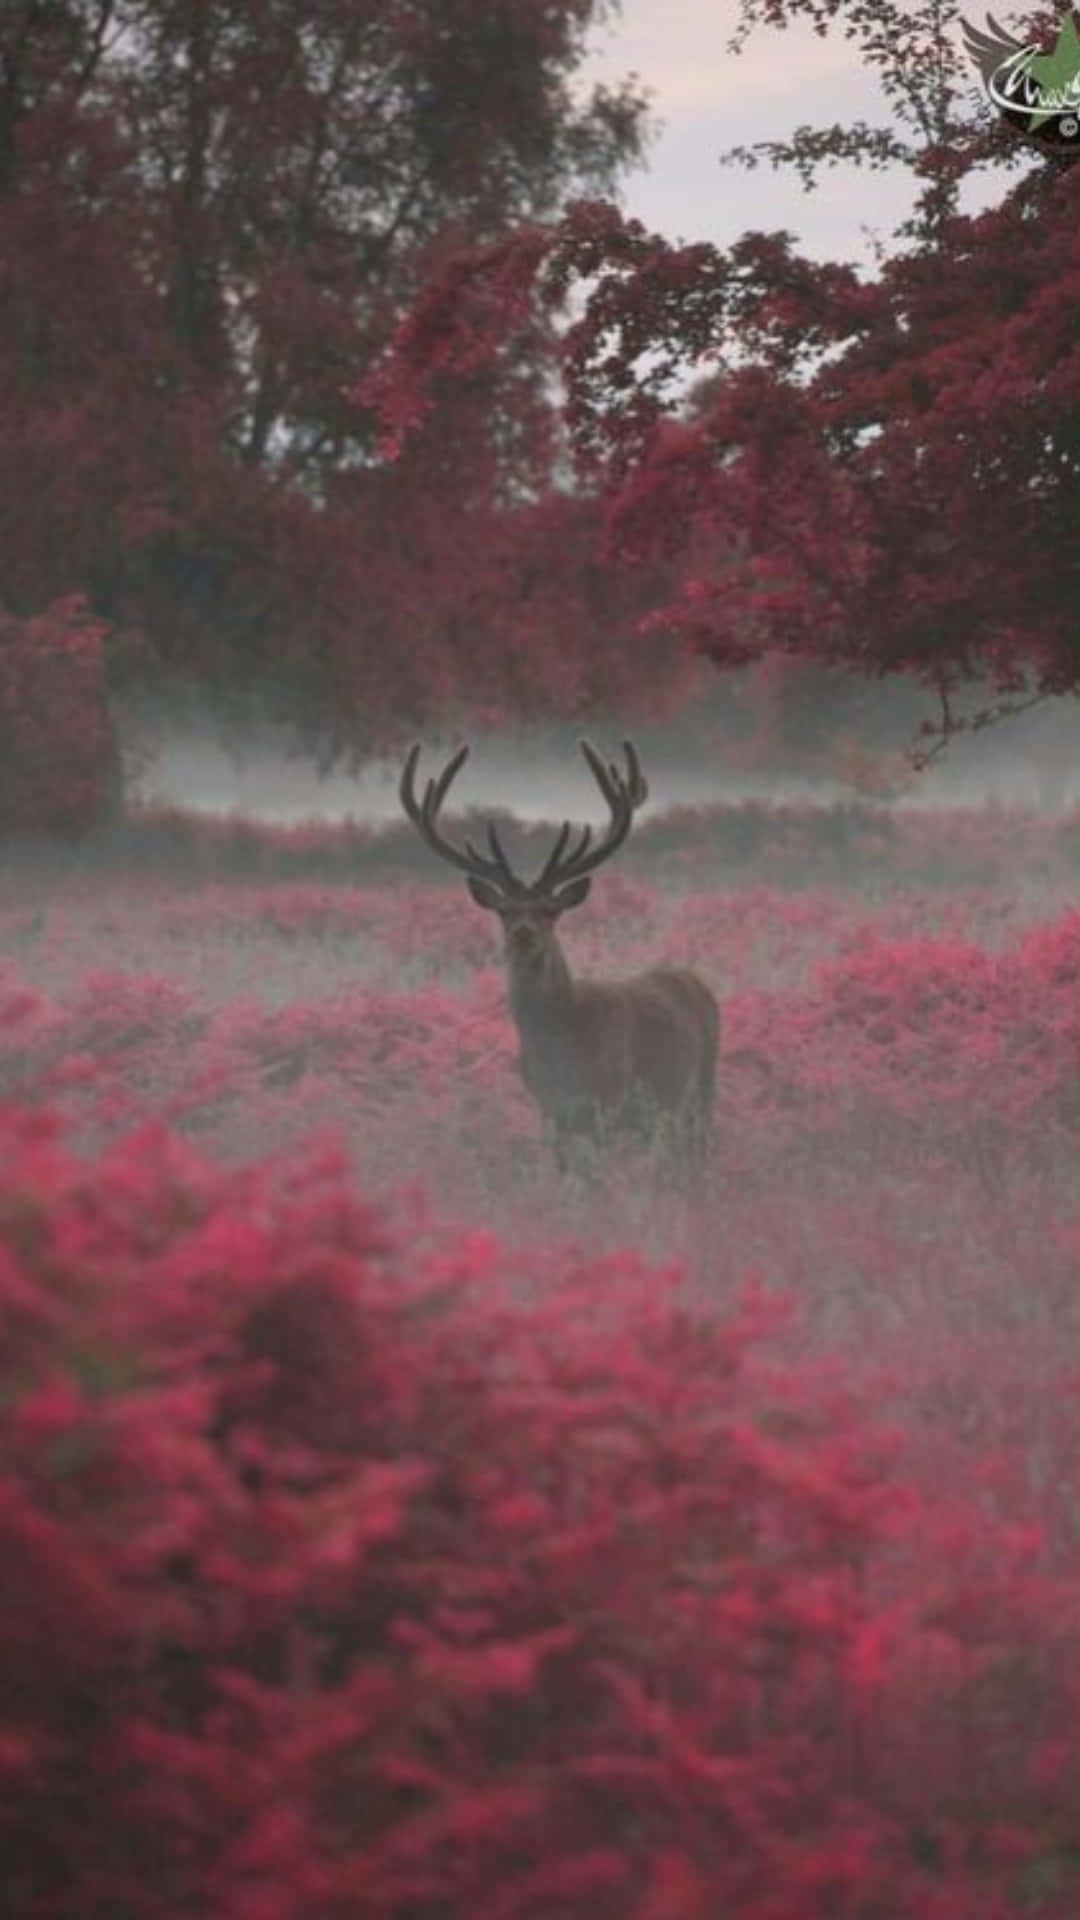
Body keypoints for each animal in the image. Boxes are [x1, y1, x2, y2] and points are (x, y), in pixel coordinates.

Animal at [399, 741, 718, 1175]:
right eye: (504, 910)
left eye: (551, 910)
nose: (523, 934)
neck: (561, 1050)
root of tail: (695, 980)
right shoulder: (549, 1110)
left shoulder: (607, 1102)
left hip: (701, 1086)